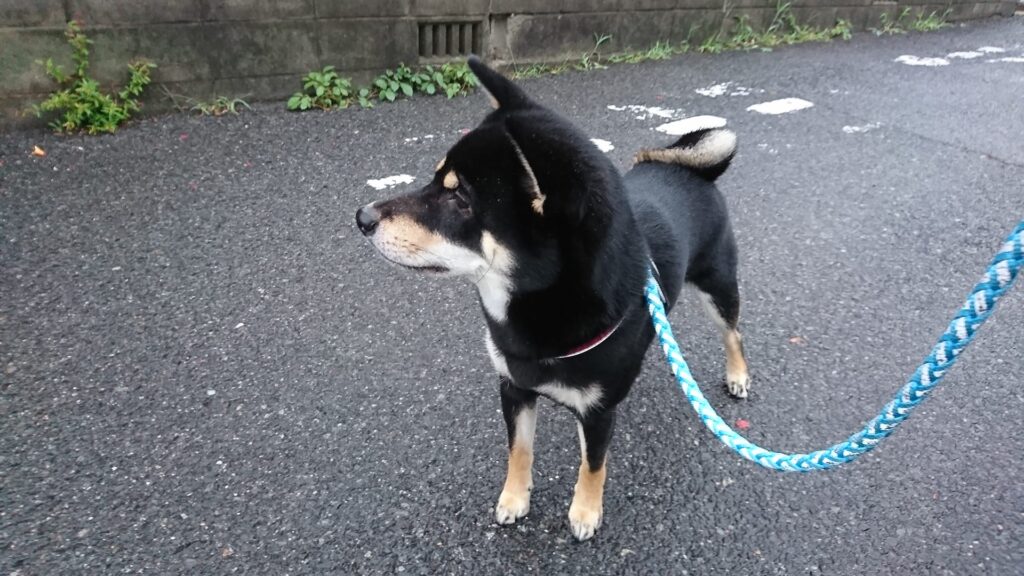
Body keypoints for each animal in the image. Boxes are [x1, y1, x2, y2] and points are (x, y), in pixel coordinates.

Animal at [356, 57, 749, 537]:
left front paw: (585, 511)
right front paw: (514, 498)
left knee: (732, 332)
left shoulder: (598, 412)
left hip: (718, 284)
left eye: (458, 197)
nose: (362, 217)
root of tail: (690, 169)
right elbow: (519, 451)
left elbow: (593, 466)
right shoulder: (514, 388)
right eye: (435, 181)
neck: (534, 314)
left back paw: (738, 374)